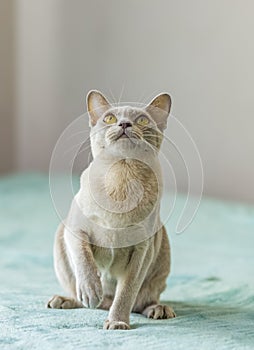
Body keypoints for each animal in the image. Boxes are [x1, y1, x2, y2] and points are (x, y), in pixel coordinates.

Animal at [46, 89, 176, 328]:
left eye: (142, 120)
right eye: (109, 118)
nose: (124, 124)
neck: (121, 179)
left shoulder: (142, 251)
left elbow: (125, 293)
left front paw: (117, 323)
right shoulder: (76, 230)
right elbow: (84, 260)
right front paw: (91, 292)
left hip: (161, 251)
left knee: (142, 301)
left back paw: (159, 309)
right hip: (60, 245)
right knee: (84, 296)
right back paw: (65, 300)